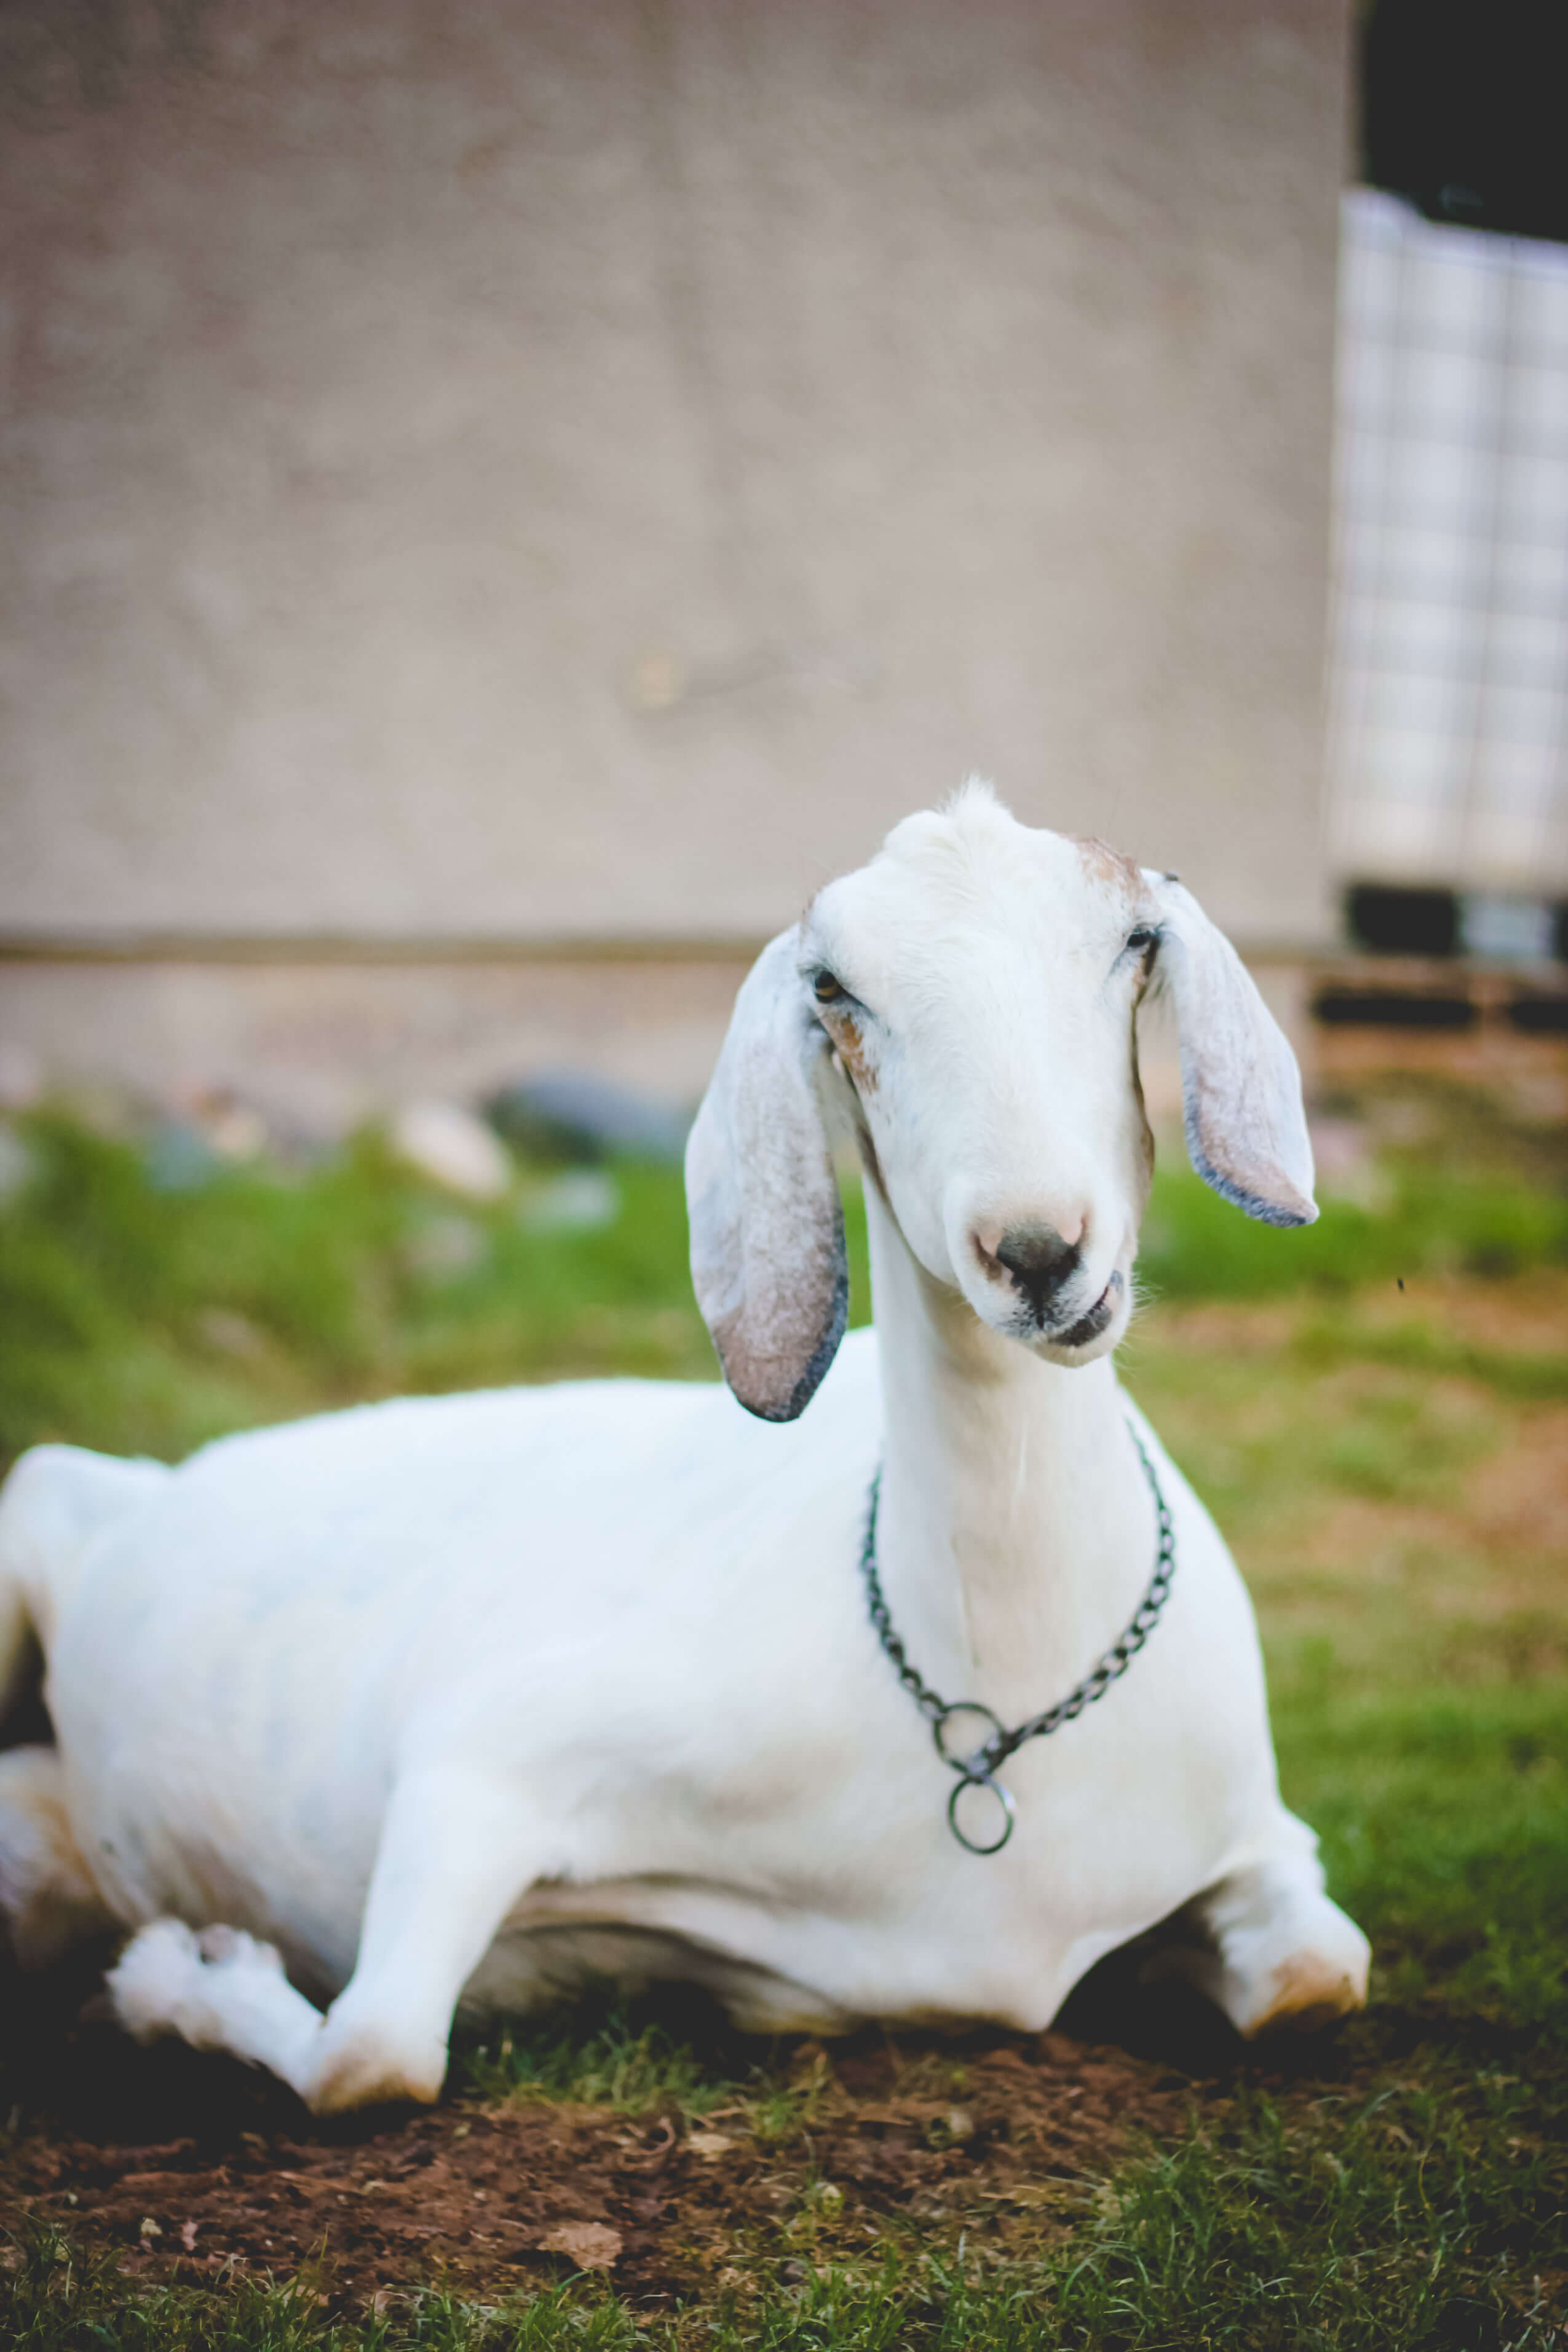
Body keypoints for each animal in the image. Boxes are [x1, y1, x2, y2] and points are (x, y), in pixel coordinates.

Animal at [0, 790, 1372, 2116]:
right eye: (836, 988)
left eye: (1133, 942)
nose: (1037, 1250)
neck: (995, 1687)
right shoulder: (480, 1759)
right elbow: (373, 2053)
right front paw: (182, 1972)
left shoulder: (1259, 1834)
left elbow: (1322, 1974)